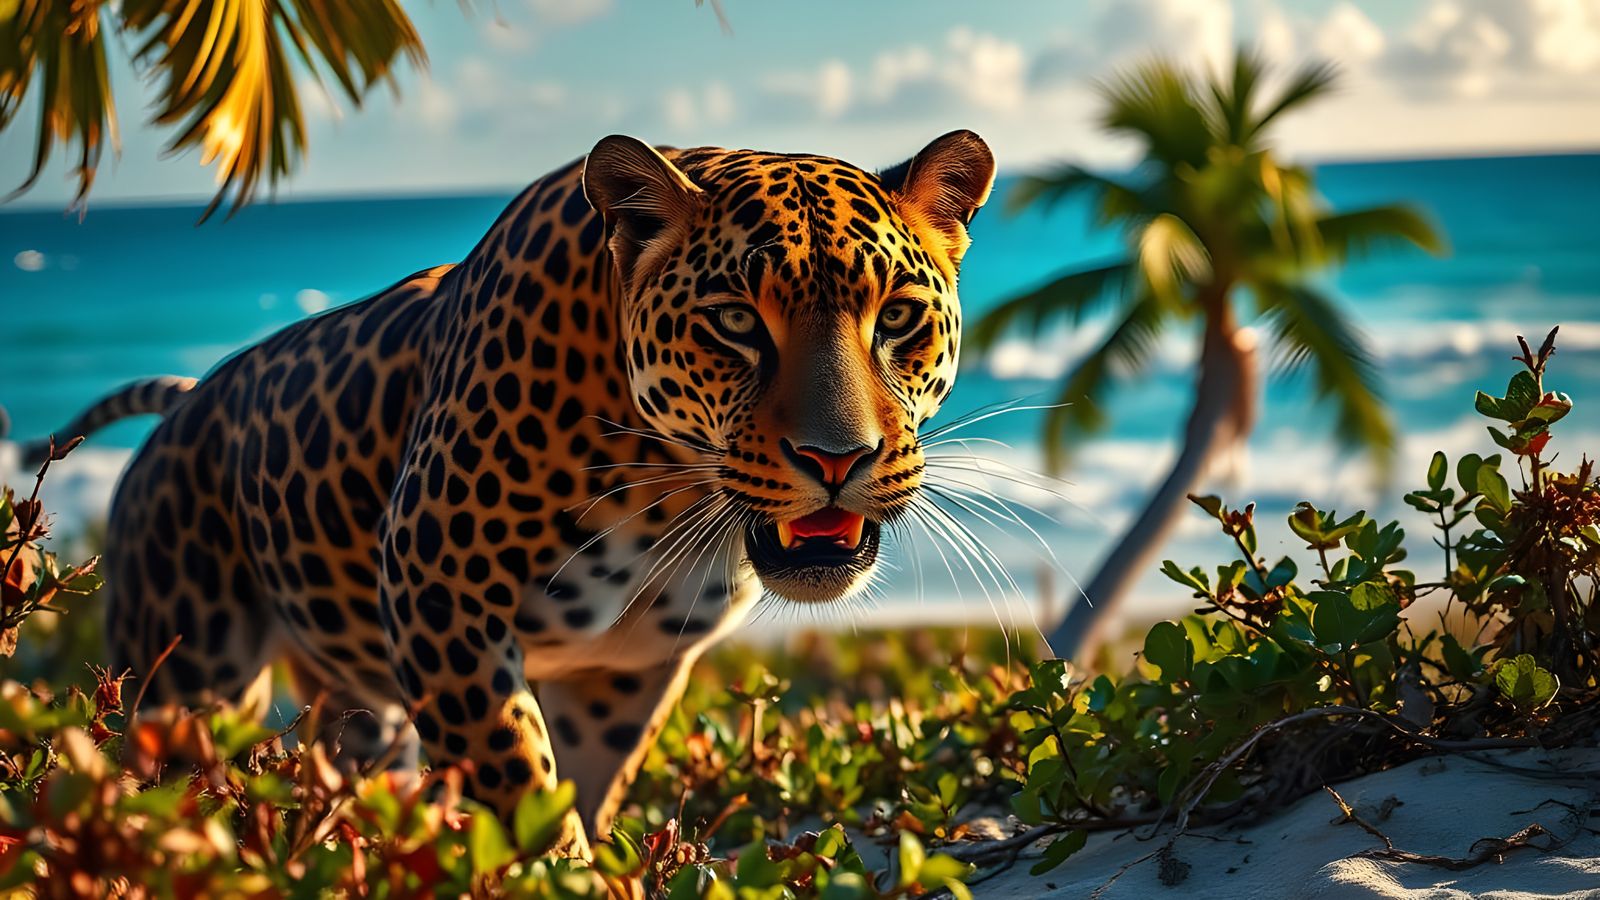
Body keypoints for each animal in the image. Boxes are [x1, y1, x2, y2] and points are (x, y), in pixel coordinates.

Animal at [22, 130, 995, 853]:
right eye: (733, 322)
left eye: (898, 317)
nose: (838, 458)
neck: (667, 491)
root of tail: (189, 400)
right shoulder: (440, 599)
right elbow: (518, 782)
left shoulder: (621, 668)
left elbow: (582, 789)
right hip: (187, 677)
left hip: (353, 708)